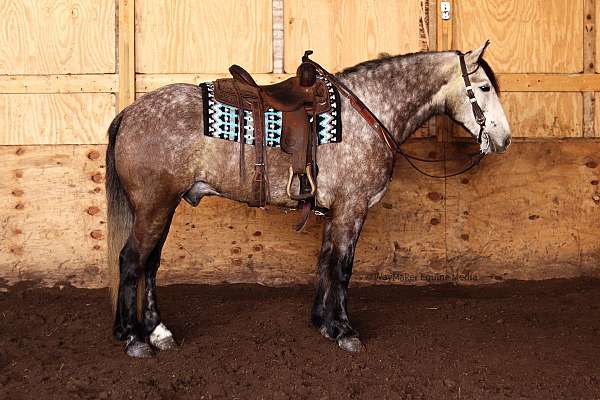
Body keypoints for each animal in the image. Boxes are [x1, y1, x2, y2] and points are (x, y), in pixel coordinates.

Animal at [105, 43, 508, 356]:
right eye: (484, 86)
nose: (504, 138)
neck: (368, 113)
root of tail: (129, 112)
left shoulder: (336, 212)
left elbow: (325, 262)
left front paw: (324, 324)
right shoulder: (351, 209)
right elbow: (342, 268)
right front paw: (345, 332)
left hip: (164, 205)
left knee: (150, 263)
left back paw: (158, 332)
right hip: (154, 205)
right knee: (132, 260)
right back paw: (133, 339)